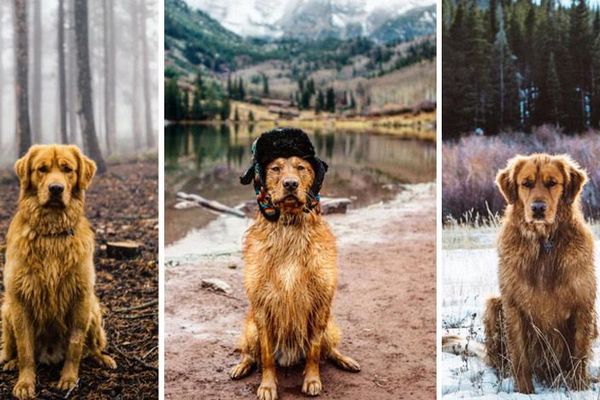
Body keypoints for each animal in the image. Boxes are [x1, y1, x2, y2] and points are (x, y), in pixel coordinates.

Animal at [1, 145, 116, 398]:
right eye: (42, 169)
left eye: (67, 169)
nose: (56, 188)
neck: (52, 233)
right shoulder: (20, 298)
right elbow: (25, 350)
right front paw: (25, 383)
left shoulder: (80, 296)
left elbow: (75, 346)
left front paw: (69, 379)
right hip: (7, 310)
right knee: (12, 348)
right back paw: (10, 362)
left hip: (94, 309)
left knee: (91, 348)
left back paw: (103, 359)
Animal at [231, 129, 360, 400]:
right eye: (275, 168)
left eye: (301, 167)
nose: (291, 184)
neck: (289, 227)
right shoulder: (262, 308)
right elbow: (267, 357)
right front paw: (267, 386)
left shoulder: (320, 304)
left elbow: (314, 351)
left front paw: (312, 380)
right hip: (251, 329)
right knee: (251, 353)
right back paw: (242, 365)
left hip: (330, 326)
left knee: (328, 350)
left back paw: (345, 360)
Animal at [442, 154, 596, 394]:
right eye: (526, 183)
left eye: (552, 183)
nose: (538, 208)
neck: (543, 243)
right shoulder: (513, 305)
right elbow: (520, 357)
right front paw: (524, 392)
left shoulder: (583, 303)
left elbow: (579, 355)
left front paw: (579, 389)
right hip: (493, 305)